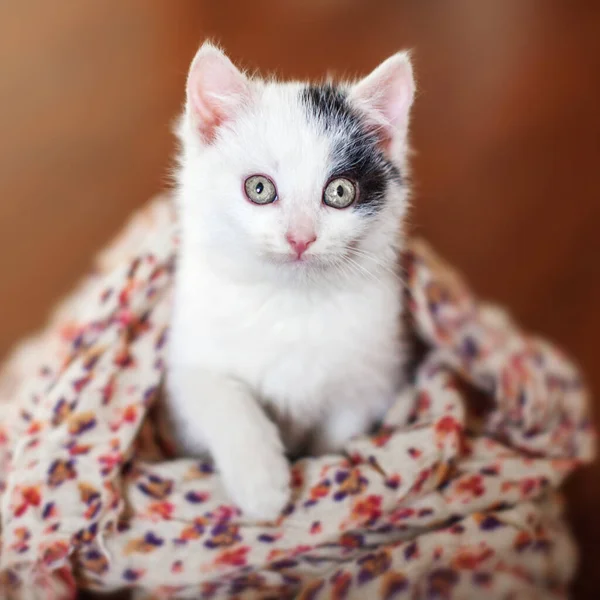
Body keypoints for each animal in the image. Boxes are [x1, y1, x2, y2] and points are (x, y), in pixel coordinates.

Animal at [166, 43, 414, 520]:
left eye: (340, 192)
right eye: (259, 188)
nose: (301, 237)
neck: (291, 301)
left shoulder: (371, 376)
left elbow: (341, 428)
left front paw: (326, 462)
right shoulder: (187, 366)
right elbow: (219, 395)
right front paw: (262, 485)